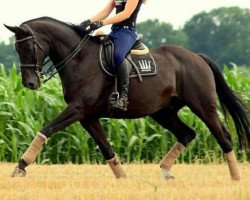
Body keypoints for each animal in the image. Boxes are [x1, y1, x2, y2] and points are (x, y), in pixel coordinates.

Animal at [4, 16, 250, 180]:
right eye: (16, 48)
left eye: (28, 47)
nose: (29, 83)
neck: (79, 58)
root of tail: (197, 57)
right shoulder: (87, 117)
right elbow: (106, 147)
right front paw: (122, 178)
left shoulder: (78, 109)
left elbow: (46, 129)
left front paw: (20, 166)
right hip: (163, 112)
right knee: (187, 134)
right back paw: (164, 171)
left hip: (203, 106)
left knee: (223, 137)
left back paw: (235, 178)